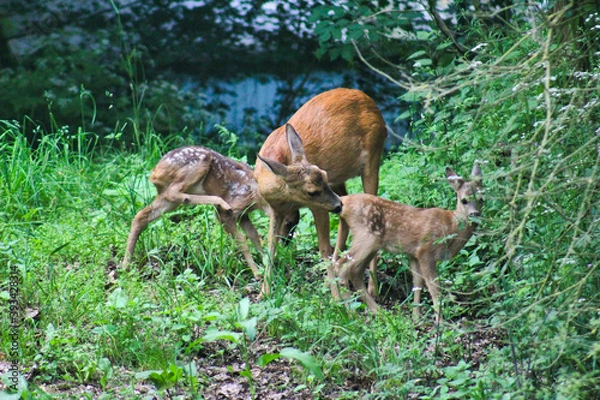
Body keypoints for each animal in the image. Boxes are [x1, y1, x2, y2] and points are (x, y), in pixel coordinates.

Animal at [122, 145, 270, 280]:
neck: (256, 195)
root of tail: (155, 171)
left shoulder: (243, 215)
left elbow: (254, 236)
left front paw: (267, 265)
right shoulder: (230, 210)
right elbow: (242, 242)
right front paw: (257, 274)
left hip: (166, 199)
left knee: (141, 215)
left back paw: (126, 266)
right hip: (198, 164)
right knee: (172, 193)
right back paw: (218, 201)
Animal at [254, 87, 386, 294]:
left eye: (323, 174)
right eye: (312, 191)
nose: (337, 205)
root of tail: (368, 100)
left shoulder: (319, 206)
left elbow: (323, 249)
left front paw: (337, 298)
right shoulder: (276, 209)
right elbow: (270, 247)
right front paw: (264, 294)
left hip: (373, 157)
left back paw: (371, 288)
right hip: (340, 180)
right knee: (345, 214)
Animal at [328, 163, 482, 322]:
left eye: (481, 199)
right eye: (464, 200)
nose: (475, 214)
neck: (450, 226)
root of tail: (344, 202)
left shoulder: (413, 254)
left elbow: (418, 283)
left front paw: (416, 317)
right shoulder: (426, 251)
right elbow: (434, 287)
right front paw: (440, 321)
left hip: (371, 244)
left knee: (354, 272)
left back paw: (379, 313)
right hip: (366, 238)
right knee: (341, 266)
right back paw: (352, 313)